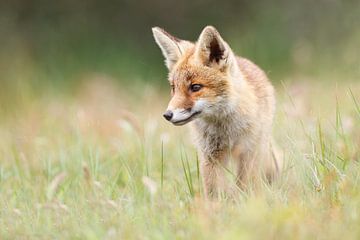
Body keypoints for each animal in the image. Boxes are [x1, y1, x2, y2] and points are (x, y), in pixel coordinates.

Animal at [152, 25, 282, 199]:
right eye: (174, 88)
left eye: (195, 87)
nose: (167, 115)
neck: (226, 128)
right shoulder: (210, 155)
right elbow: (214, 190)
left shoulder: (248, 151)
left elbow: (244, 186)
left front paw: (247, 203)